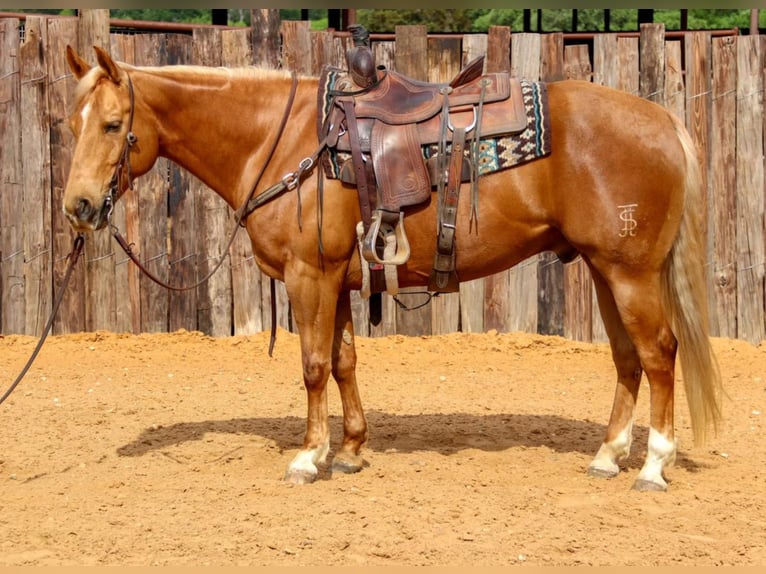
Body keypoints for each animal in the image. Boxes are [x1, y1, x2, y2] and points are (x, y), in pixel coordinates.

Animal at [63, 47, 724, 492]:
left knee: (659, 354)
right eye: (72, 122)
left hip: (631, 273)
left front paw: (307, 458)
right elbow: (343, 362)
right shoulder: (336, 277)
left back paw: (654, 464)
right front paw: (349, 450)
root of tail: (664, 122)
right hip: (604, 270)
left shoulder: (309, 275)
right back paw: (608, 455)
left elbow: (312, 366)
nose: (79, 206)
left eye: (113, 125)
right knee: (627, 359)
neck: (278, 140)